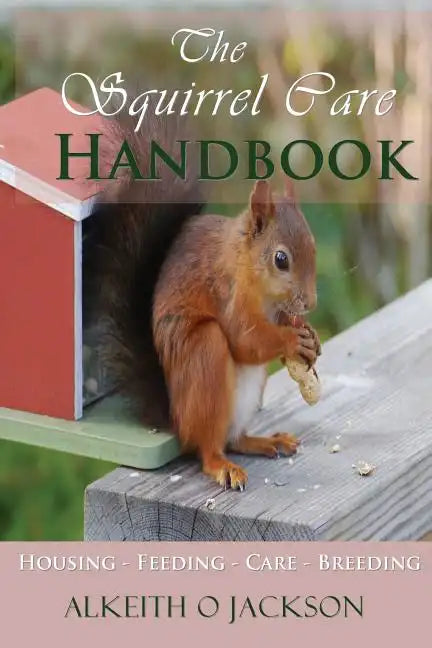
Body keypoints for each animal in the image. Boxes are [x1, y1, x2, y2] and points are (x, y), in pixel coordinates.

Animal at [84, 107, 321, 490]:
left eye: (312, 246)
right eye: (281, 259)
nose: (310, 303)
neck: (247, 265)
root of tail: (177, 419)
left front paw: (310, 336)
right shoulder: (227, 292)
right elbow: (245, 339)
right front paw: (290, 339)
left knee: (234, 439)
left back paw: (265, 441)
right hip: (204, 357)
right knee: (208, 447)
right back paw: (222, 466)